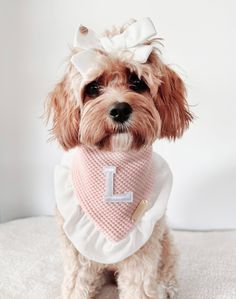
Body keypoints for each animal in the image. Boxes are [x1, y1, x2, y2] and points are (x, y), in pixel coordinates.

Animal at [45, 18, 192, 299]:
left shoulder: (143, 252)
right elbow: (76, 284)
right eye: (93, 88)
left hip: (164, 242)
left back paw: (166, 287)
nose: (120, 109)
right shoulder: (76, 253)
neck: (114, 161)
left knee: (167, 267)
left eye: (137, 82)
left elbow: (139, 286)